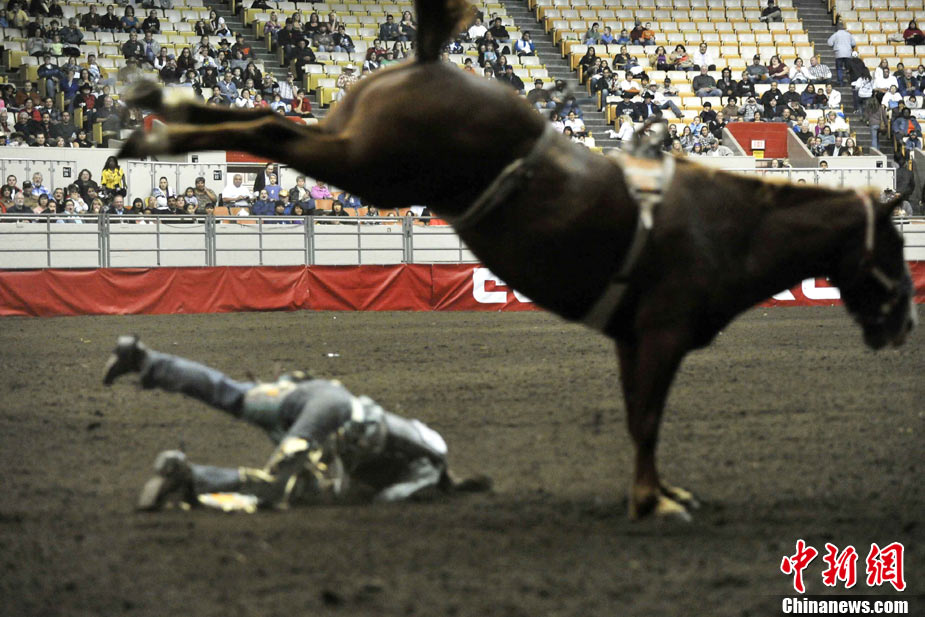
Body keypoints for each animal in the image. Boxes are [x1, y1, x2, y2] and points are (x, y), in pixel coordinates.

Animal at [118, 0, 917, 520]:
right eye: (895, 246)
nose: (903, 323)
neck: (719, 225)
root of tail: (431, 61)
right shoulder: (660, 335)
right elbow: (647, 420)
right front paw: (654, 500)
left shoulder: (632, 339)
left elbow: (639, 415)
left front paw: (659, 492)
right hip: (369, 166)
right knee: (268, 128)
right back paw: (155, 131)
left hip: (351, 145)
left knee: (269, 123)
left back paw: (159, 113)